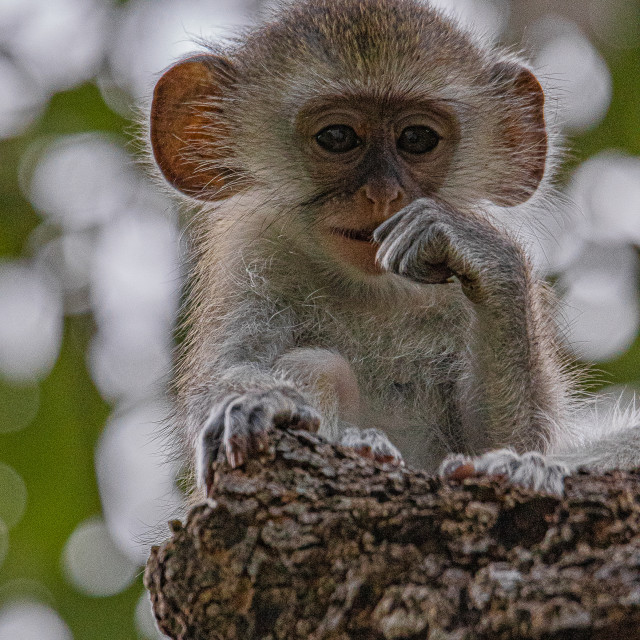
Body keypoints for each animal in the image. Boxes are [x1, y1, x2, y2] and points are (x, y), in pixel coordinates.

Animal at [149, 0, 640, 498]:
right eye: (338, 137)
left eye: (416, 139)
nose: (383, 194)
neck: (369, 293)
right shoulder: (253, 256)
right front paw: (263, 402)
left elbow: (503, 441)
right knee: (317, 363)